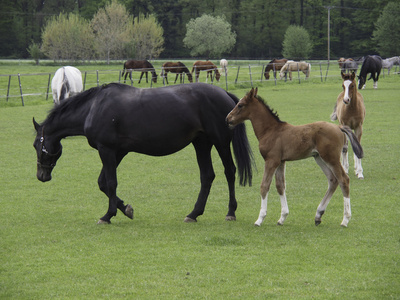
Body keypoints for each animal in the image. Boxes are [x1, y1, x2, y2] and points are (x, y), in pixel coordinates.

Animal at [34, 83, 253, 224]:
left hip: (220, 142)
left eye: (37, 145)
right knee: (207, 176)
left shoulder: (107, 150)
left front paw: (108, 215)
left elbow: (110, 183)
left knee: (229, 172)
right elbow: (103, 183)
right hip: (201, 144)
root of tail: (224, 93)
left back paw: (230, 212)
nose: (41, 175)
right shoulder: (118, 152)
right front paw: (125, 209)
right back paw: (194, 213)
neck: (94, 107)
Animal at [227, 88, 364, 227]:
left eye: (240, 105)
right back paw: (318, 215)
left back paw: (345, 219)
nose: (228, 118)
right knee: (333, 180)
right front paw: (282, 217)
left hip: (331, 158)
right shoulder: (281, 161)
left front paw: (260, 219)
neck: (270, 130)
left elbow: (264, 186)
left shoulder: (271, 160)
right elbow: (280, 186)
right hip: (319, 158)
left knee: (343, 180)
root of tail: (338, 127)